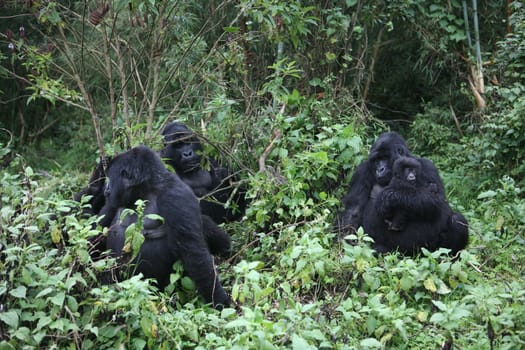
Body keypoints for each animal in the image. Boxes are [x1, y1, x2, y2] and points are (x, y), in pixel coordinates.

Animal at [98, 145, 229, 308]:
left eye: (110, 178)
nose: (106, 188)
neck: (146, 189)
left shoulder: (176, 196)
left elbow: (195, 254)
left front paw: (219, 302)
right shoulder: (113, 202)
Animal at [338, 133, 468, 256]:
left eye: (385, 158)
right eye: (376, 160)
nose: (380, 169)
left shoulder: (428, 166)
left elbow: (438, 203)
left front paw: (390, 197)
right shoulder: (361, 171)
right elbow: (354, 210)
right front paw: (346, 244)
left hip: (428, 251)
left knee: (456, 220)